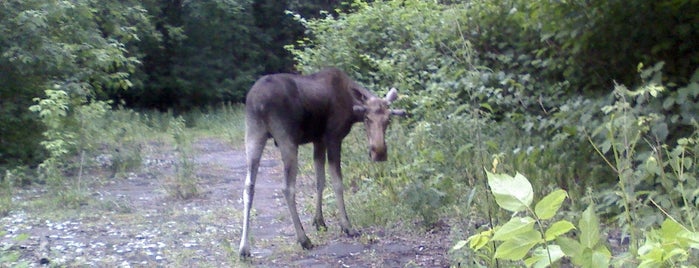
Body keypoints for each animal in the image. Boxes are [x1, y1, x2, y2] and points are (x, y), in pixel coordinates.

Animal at [239, 68, 408, 256]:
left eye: (388, 120)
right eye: (367, 118)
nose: (379, 153)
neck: (351, 109)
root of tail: (258, 102)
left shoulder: (318, 140)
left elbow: (320, 181)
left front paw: (319, 221)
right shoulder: (333, 137)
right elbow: (337, 183)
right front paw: (347, 226)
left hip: (253, 134)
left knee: (248, 186)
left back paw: (244, 248)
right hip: (287, 140)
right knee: (287, 188)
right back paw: (304, 239)